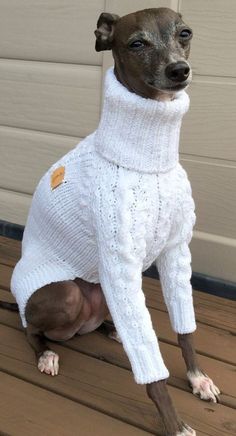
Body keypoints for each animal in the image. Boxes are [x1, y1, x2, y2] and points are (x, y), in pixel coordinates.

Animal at [0, 7, 220, 436]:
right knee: (29, 327)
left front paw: (198, 377)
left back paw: (114, 330)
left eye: (185, 33)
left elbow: (185, 327)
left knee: (109, 320)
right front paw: (174, 423)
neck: (149, 158)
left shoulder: (176, 251)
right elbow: (152, 374)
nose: (179, 70)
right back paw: (46, 354)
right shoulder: (121, 264)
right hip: (65, 294)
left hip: (101, 290)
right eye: (136, 43)